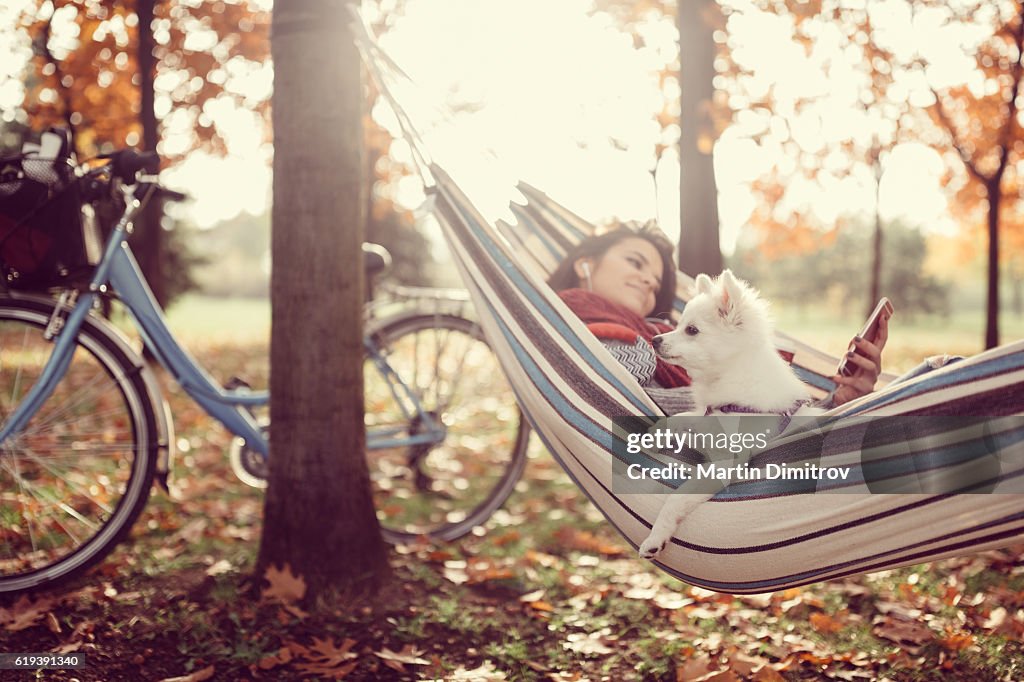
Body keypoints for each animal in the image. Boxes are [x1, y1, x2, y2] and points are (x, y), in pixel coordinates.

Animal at [634, 268, 819, 561]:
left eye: (691, 330)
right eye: (679, 324)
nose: (655, 340)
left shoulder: (724, 464)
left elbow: (677, 497)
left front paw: (655, 538)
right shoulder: (706, 418)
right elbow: (682, 417)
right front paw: (655, 433)